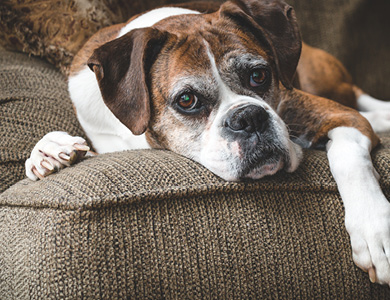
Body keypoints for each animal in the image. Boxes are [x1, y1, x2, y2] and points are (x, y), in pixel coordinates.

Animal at [25, 0, 390, 286]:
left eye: (259, 75)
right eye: (187, 100)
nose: (249, 117)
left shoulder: (342, 116)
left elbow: (348, 158)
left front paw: (374, 230)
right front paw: (48, 152)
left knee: (365, 105)